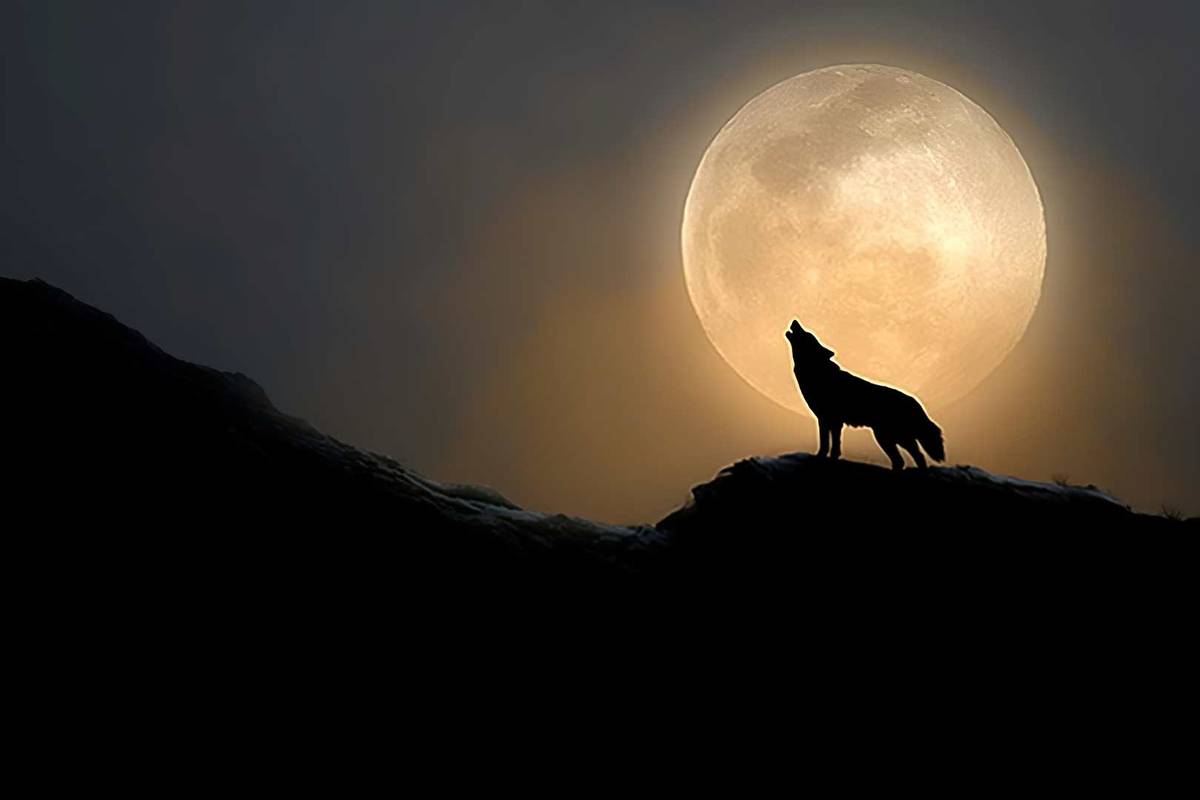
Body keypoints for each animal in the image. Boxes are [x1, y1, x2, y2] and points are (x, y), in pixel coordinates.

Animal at [785, 319, 945, 470]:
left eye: (807, 334)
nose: (795, 321)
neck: (817, 372)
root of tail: (916, 403)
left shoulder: (832, 420)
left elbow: (829, 445)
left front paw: (822, 459)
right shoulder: (827, 421)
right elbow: (829, 444)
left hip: (892, 438)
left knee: (915, 457)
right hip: (887, 438)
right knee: (903, 460)